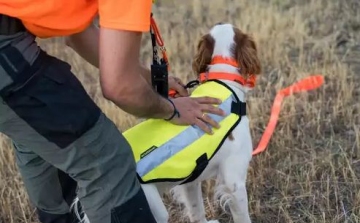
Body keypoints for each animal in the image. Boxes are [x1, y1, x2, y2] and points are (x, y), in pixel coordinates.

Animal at [71, 22, 262, 223]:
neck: (224, 79)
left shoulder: (190, 182)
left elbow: (197, 211)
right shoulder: (234, 182)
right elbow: (242, 216)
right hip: (153, 206)